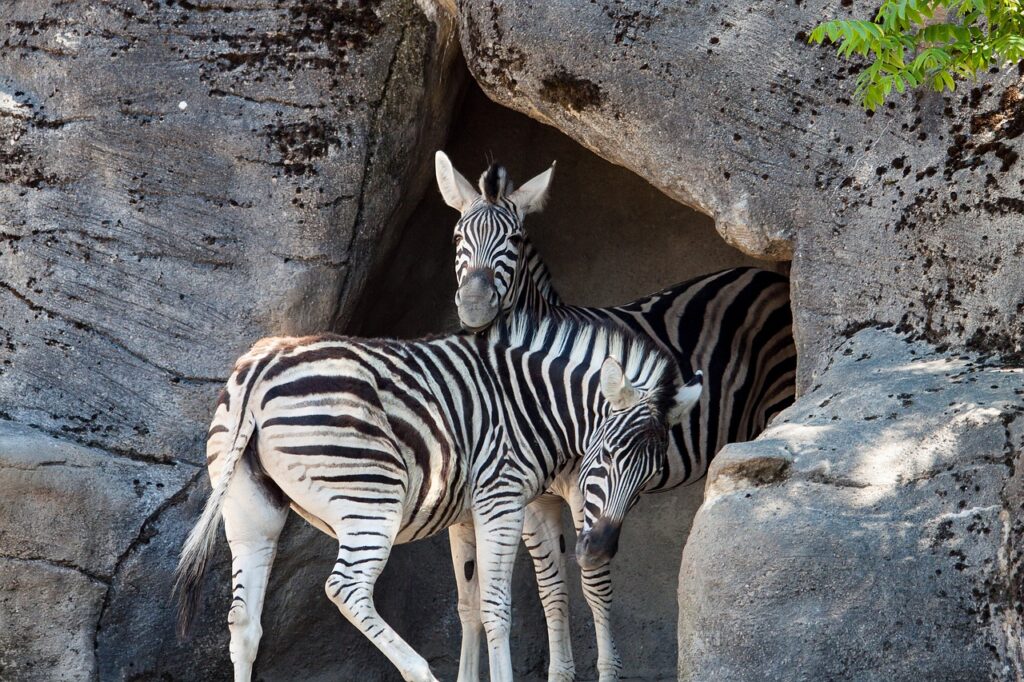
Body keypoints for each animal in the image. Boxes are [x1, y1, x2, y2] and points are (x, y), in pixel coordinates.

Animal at [176, 313, 704, 679]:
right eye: (607, 458)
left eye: (650, 479)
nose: (596, 550)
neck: (532, 404)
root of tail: (265, 363)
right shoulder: (502, 499)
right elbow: (496, 608)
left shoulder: (465, 515)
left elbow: (468, 607)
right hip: (372, 499)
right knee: (345, 588)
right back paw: (419, 672)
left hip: (250, 509)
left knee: (244, 622)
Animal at [434, 150, 798, 679]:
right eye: (458, 237)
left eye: (516, 241)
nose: (476, 307)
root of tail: (769, 276)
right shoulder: (534, 499)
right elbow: (552, 592)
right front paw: (561, 671)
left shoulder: (589, 490)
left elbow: (594, 588)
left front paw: (608, 669)